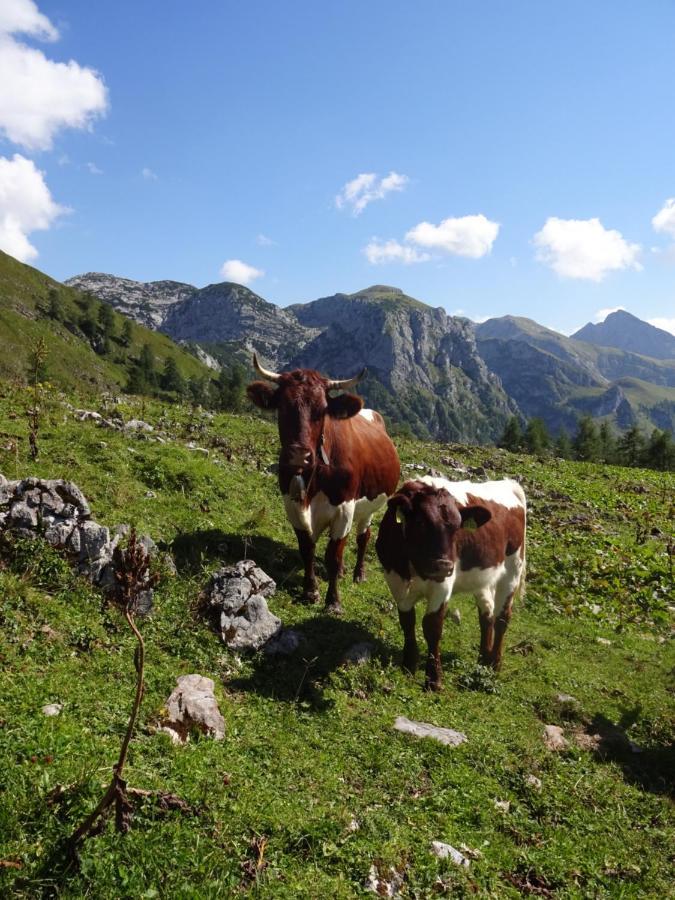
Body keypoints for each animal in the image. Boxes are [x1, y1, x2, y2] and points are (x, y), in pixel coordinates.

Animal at [374, 478, 528, 688]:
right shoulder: (394, 579)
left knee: (502, 617)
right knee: (487, 614)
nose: (444, 566)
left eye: (457, 528)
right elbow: (407, 621)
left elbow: (432, 626)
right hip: (482, 578)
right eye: (420, 522)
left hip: (512, 569)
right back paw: (483, 661)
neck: (411, 567)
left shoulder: (442, 585)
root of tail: (508, 483)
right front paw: (409, 664)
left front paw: (434, 680)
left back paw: (495, 664)